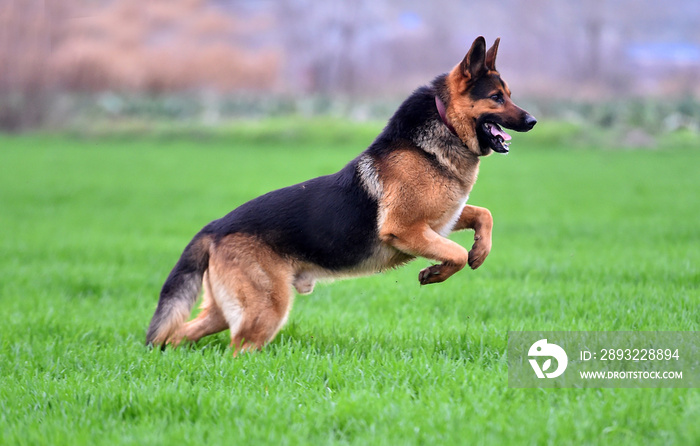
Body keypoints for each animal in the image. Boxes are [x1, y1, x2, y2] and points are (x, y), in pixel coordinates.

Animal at [146, 35, 536, 356]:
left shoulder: (442, 222)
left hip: (224, 312)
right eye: (497, 98)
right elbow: (454, 252)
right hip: (265, 310)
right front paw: (435, 273)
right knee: (236, 350)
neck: (443, 130)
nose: (532, 121)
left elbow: (483, 215)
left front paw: (479, 252)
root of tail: (214, 227)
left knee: (177, 334)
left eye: (509, 95)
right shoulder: (406, 229)